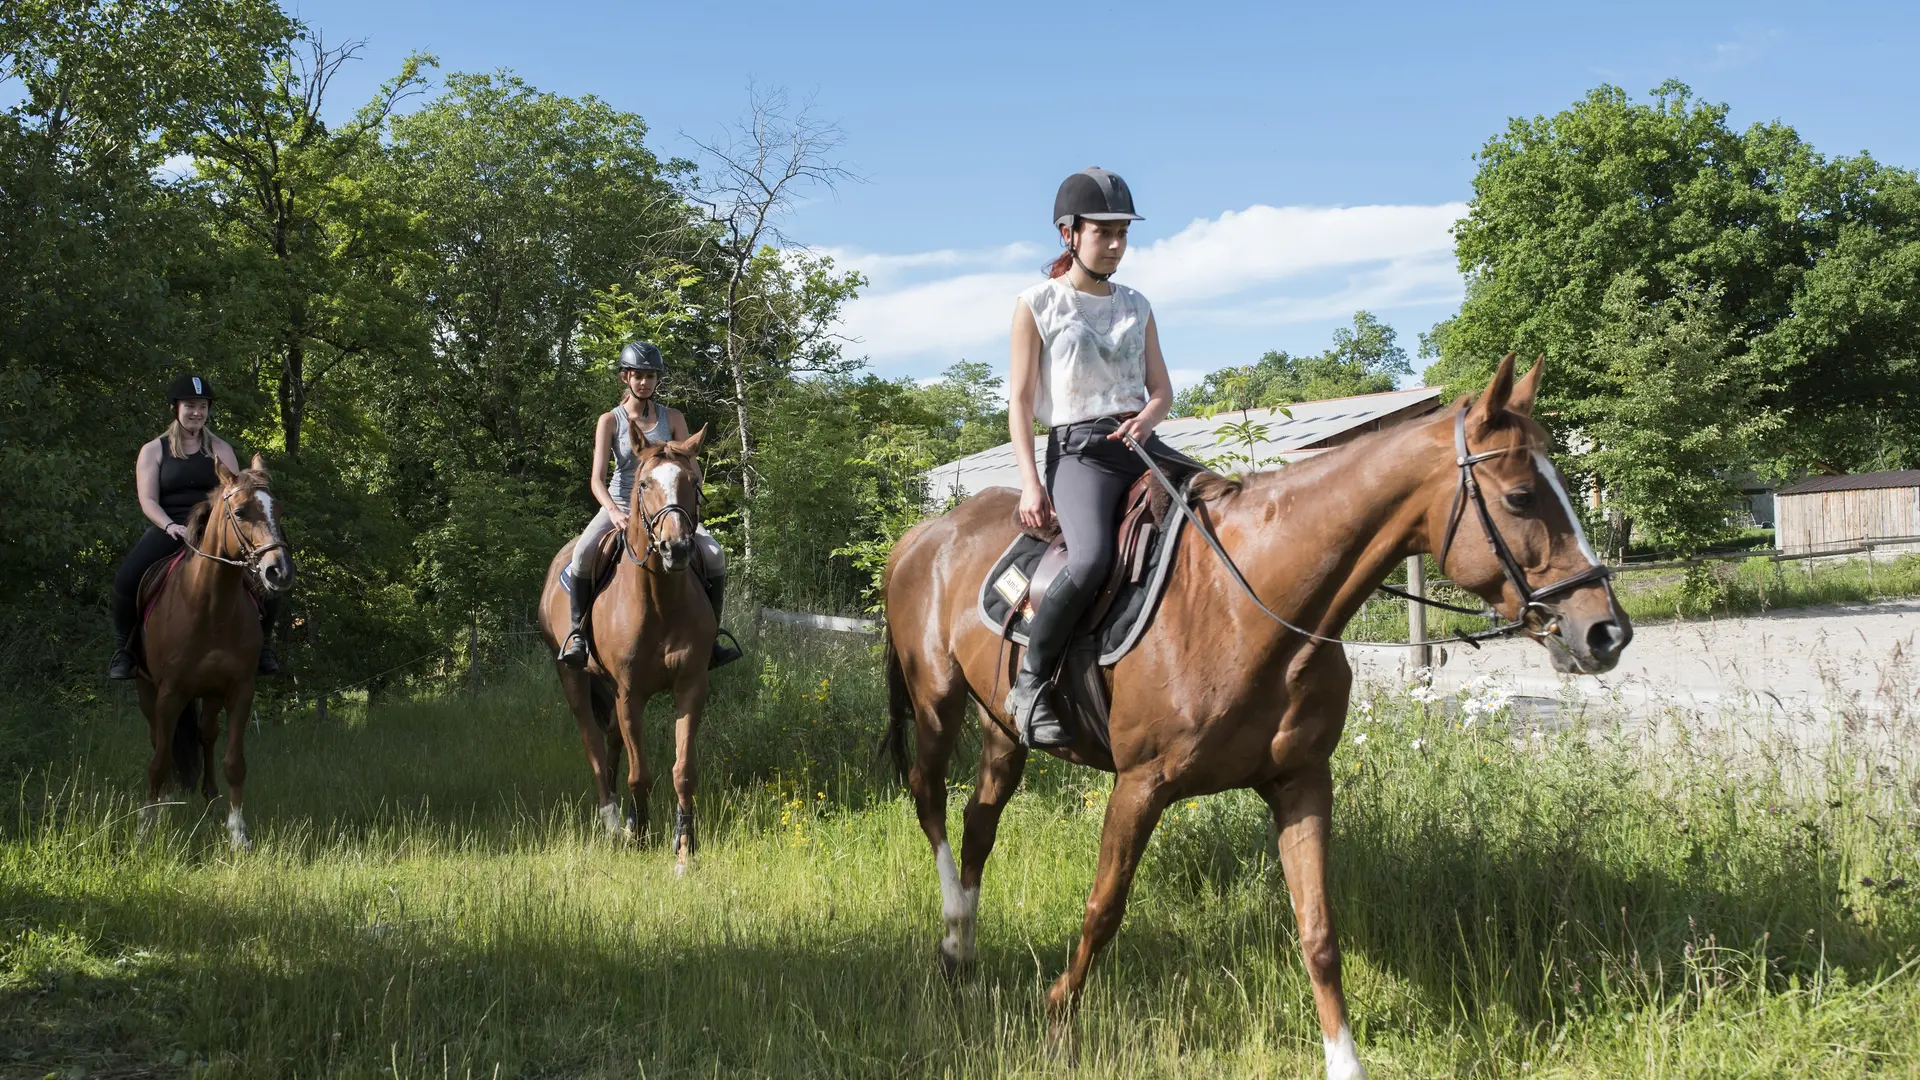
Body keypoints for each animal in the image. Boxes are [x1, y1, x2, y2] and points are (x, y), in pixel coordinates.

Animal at [135, 449, 291, 845]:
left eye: (279, 510)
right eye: (240, 512)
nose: (279, 572)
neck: (209, 606)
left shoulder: (239, 690)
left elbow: (234, 762)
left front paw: (238, 832)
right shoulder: (169, 693)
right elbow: (158, 759)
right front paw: (147, 826)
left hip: (210, 693)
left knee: (206, 735)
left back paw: (209, 795)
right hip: (147, 690)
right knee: (159, 741)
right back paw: (165, 801)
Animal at [537, 424, 718, 868]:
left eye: (693, 482)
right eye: (646, 483)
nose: (676, 548)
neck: (660, 602)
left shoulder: (690, 688)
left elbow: (682, 771)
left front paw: (684, 849)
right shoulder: (630, 693)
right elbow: (641, 774)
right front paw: (639, 835)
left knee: (612, 737)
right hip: (571, 675)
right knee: (593, 740)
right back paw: (613, 819)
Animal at [879, 357, 1620, 1068]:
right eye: (1520, 496)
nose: (1606, 632)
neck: (1252, 604)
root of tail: (923, 534)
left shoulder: (1301, 782)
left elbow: (1319, 932)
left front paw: (1344, 1059)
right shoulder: (1139, 784)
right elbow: (1104, 907)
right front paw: (1058, 1016)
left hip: (1003, 727)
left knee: (979, 820)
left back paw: (963, 948)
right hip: (938, 701)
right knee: (929, 797)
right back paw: (952, 933)